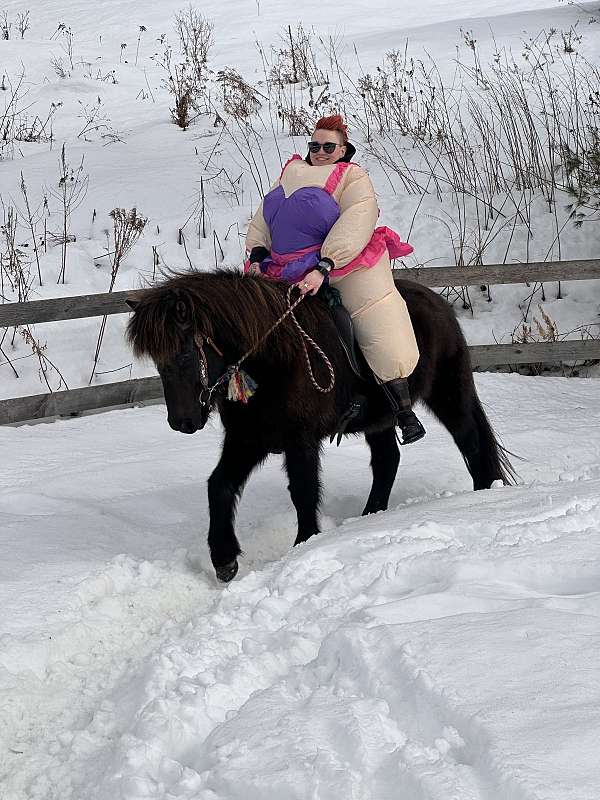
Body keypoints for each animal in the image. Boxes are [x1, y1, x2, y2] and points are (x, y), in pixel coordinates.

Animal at [126, 269, 515, 582]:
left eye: (185, 354)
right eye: (157, 362)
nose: (182, 422)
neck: (274, 359)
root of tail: (439, 304)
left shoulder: (300, 441)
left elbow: (303, 490)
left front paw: (304, 544)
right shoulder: (247, 439)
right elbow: (219, 485)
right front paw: (224, 559)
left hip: (448, 393)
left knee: (469, 440)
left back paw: (484, 495)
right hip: (380, 420)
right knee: (387, 461)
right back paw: (370, 516)